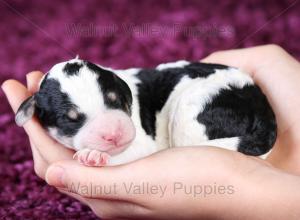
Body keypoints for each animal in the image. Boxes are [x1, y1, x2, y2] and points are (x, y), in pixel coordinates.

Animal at [14, 57, 276, 166]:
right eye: (71, 120)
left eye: (115, 100)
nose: (115, 135)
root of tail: (261, 103)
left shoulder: (142, 143)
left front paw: (95, 155)